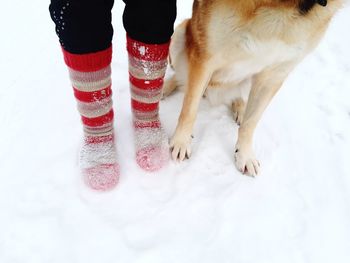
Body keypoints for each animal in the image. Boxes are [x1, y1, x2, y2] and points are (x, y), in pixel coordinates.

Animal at [165, 0, 344, 177]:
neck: (280, 8)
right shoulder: (206, 56)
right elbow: (189, 110)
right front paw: (181, 141)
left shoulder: (275, 74)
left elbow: (251, 123)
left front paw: (244, 155)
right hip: (179, 36)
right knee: (180, 79)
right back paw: (165, 89)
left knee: (237, 97)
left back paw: (240, 108)